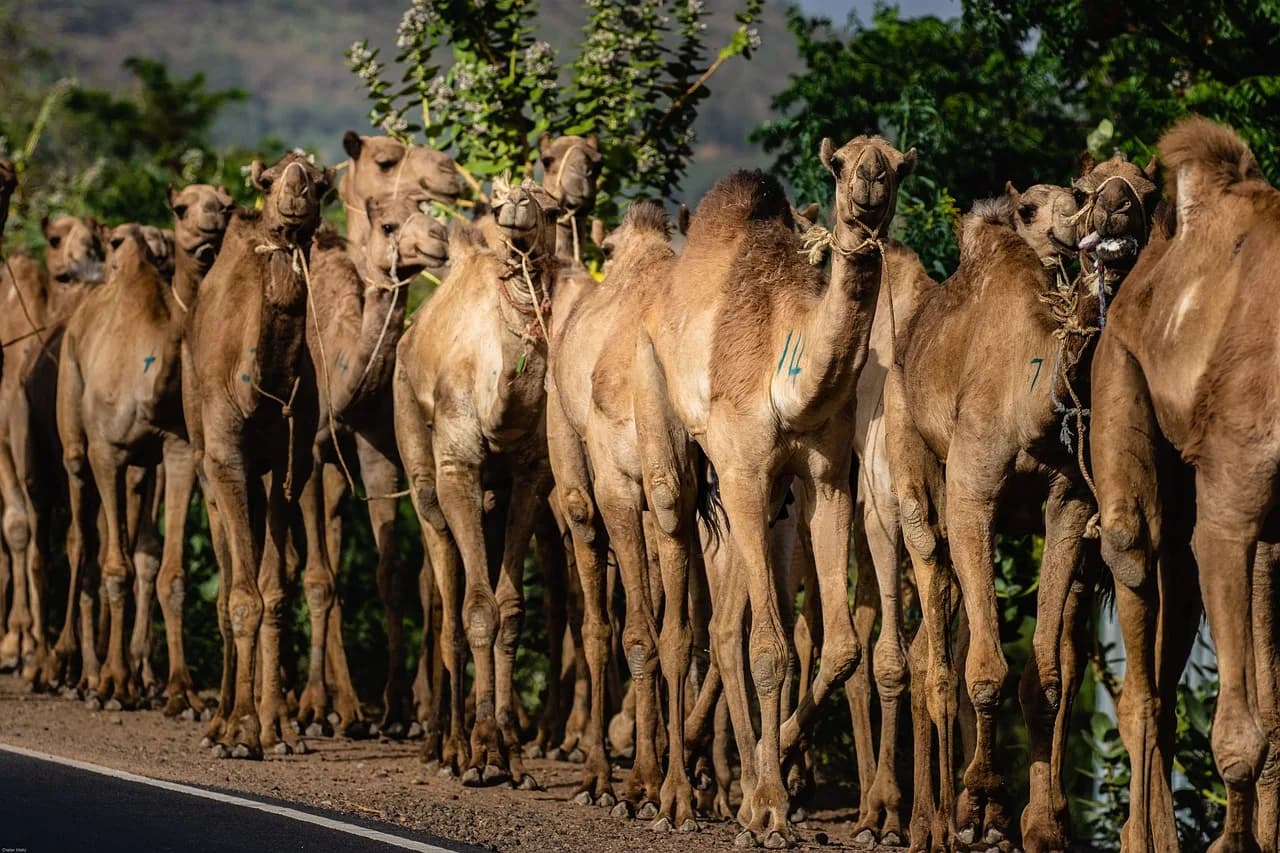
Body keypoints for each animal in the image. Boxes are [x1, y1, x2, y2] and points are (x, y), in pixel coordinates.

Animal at [394, 177, 561, 789]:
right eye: (496, 203)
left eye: (553, 207)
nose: (516, 206)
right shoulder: (457, 468)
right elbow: (476, 610)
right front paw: (484, 752)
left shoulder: (532, 477)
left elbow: (509, 608)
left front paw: (513, 754)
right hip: (417, 453)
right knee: (444, 599)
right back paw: (447, 747)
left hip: (492, 495)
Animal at [633, 136, 913, 847]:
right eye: (840, 164)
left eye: (899, 165)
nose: (871, 182)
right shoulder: (744, 468)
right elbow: (768, 648)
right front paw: (770, 810)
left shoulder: (822, 477)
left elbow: (838, 648)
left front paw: (768, 789)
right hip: (670, 432)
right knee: (684, 618)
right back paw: (674, 797)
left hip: (758, 502)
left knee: (726, 627)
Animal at [886, 156, 1157, 852]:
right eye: (1088, 191)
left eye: (1149, 193)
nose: (1116, 210)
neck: (1033, 401)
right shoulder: (971, 494)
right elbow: (985, 671)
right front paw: (982, 802)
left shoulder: (1068, 504)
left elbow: (1048, 677)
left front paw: (1037, 825)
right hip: (916, 481)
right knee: (934, 646)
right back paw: (930, 824)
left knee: (942, 643)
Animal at [1091, 117, 1280, 853]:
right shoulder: (1229, 508)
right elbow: (1242, 739)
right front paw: (1231, 845)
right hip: (1118, 367)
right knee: (1132, 548)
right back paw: (1146, 838)